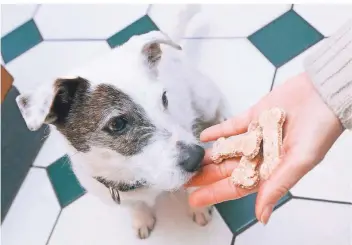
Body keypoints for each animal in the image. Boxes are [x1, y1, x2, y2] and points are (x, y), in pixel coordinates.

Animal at [15, 5, 228, 239]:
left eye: (164, 98)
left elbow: (194, 187)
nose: (197, 157)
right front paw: (141, 218)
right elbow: (134, 206)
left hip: (205, 99)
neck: (137, 179)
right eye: (117, 124)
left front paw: (198, 207)